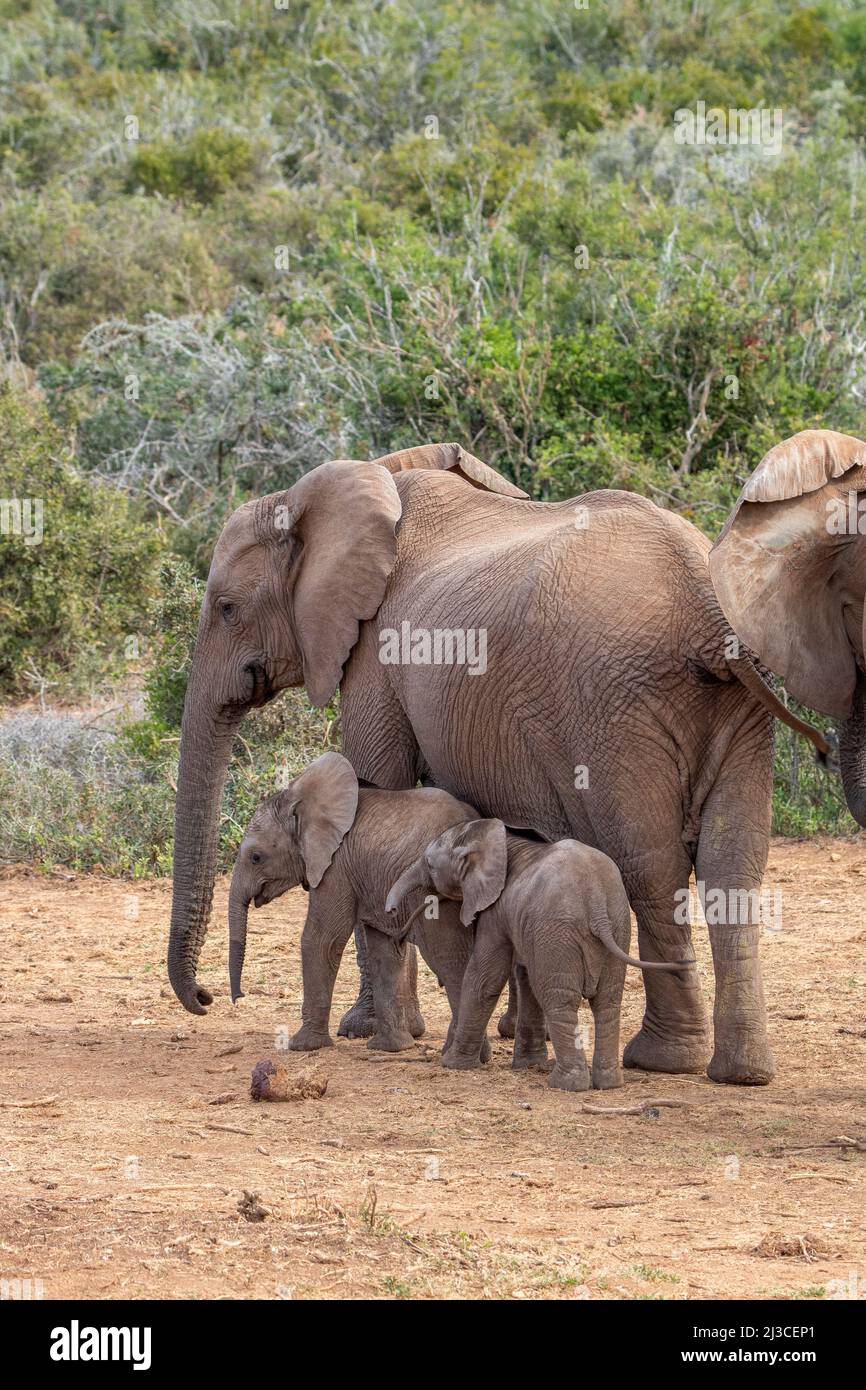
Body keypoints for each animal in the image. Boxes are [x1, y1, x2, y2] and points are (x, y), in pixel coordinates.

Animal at [226, 750, 497, 1050]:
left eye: (256, 857)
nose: (238, 998)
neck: (298, 800)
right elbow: (384, 952)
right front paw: (391, 1048)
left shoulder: (336, 867)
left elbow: (321, 939)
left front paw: (302, 1045)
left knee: (449, 959)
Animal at [386, 817, 692, 1089]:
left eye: (429, 864)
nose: (391, 913)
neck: (502, 839)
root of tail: (595, 902)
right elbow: (524, 974)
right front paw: (528, 1065)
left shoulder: (497, 910)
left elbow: (485, 976)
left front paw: (453, 1064)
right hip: (616, 926)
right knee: (607, 1000)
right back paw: (608, 1084)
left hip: (560, 930)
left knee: (559, 999)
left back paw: (566, 1084)